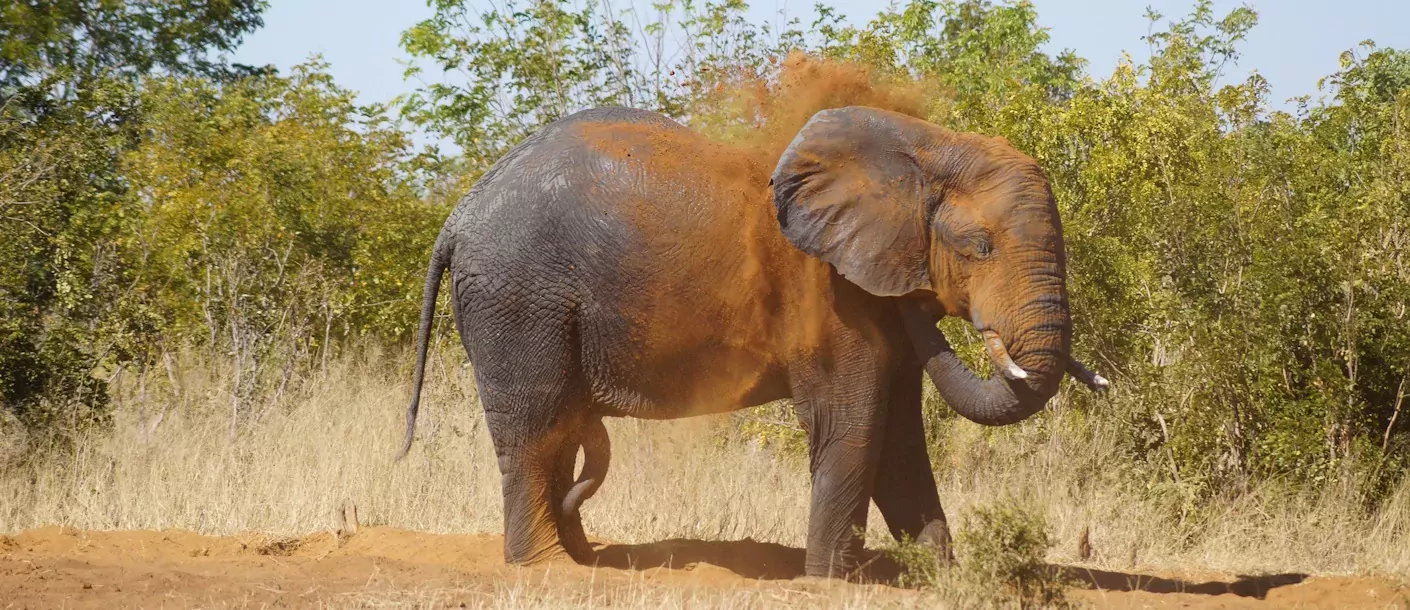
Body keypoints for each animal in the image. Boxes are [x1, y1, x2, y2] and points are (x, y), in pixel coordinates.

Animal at [400, 104, 1111, 574]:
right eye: (978, 246)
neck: (922, 148)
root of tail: (460, 213)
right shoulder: (829, 297)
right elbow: (853, 420)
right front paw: (831, 580)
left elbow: (902, 438)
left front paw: (940, 577)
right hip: (518, 298)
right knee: (536, 424)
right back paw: (550, 567)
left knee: (561, 429)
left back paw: (583, 554)